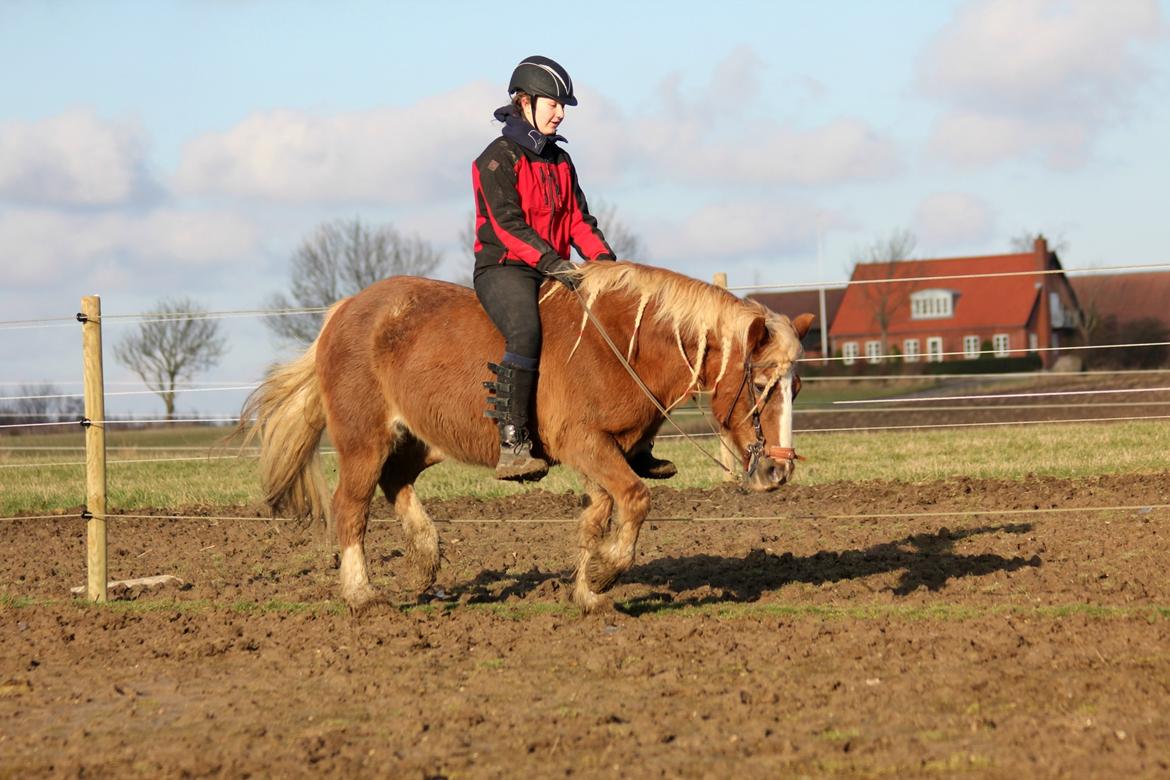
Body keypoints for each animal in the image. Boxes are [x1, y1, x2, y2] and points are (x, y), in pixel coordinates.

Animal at [239, 259, 814, 612]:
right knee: (351, 507)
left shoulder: (608, 450)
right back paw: (362, 595)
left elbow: (598, 516)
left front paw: (588, 589)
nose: (778, 468)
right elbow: (634, 499)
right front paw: (604, 575)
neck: (620, 346)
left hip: (422, 440)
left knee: (396, 481)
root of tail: (343, 312)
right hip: (364, 438)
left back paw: (424, 560)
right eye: (760, 384)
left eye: (796, 386)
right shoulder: (586, 444)